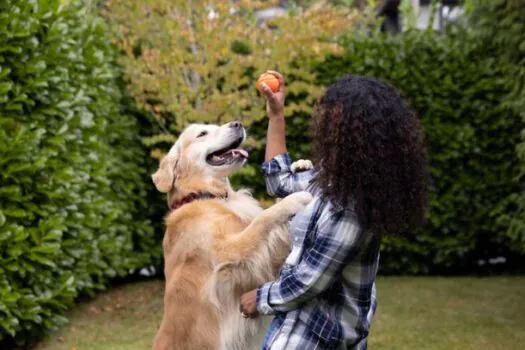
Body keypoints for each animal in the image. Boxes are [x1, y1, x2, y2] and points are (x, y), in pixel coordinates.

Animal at [149, 121, 314, 350]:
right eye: (202, 133)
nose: (237, 123)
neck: (205, 195)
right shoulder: (230, 253)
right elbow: (262, 219)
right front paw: (294, 199)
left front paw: (301, 165)